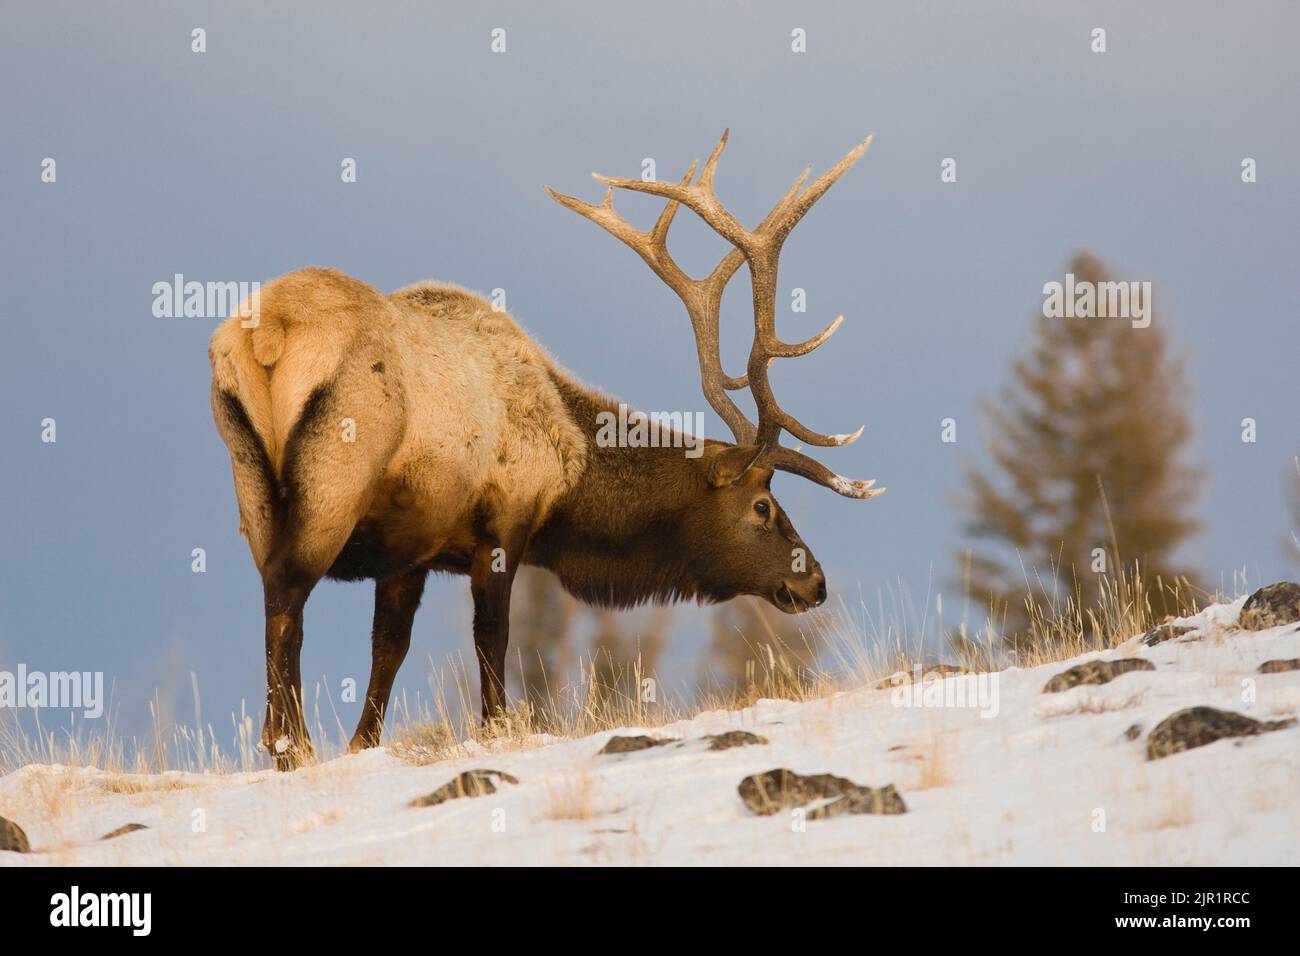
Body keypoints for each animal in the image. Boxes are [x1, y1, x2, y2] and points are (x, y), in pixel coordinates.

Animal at [210, 130, 883, 770]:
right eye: (763, 506)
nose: (814, 582)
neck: (571, 470)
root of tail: (270, 337)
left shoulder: (412, 546)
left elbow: (388, 649)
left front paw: (362, 744)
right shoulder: (505, 518)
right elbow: (492, 636)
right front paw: (497, 728)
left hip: (248, 478)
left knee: (272, 590)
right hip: (336, 475)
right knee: (288, 589)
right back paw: (288, 745)